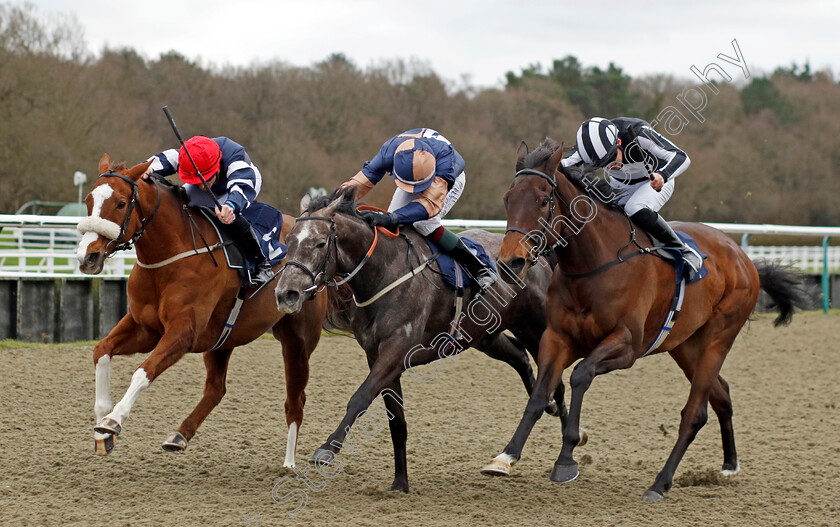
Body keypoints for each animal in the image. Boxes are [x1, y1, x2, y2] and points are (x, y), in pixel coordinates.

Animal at [77, 153, 324, 466]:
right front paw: (102, 429)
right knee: (216, 389)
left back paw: (289, 463)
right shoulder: (144, 328)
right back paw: (179, 435)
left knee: (295, 400)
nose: (87, 256)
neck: (171, 256)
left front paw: (113, 420)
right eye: (88, 200)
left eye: (121, 203)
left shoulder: (183, 333)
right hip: (223, 339)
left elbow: (143, 372)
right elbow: (101, 351)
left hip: (297, 340)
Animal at [276, 191, 564, 496]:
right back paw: (550, 412)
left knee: (556, 381)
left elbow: (360, 398)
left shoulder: (397, 346)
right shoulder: (377, 354)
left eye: (320, 243)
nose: (286, 293)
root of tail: (535, 256)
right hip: (485, 335)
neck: (383, 272)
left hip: (537, 328)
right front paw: (400, 483)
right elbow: (396, 421)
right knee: (520, 357)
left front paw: (327, 449)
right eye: (289, 241)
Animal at [482, 140, 812, 504]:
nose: (510, 262)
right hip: (686, 346)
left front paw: (567, 457)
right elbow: (540, 395)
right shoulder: (557, 338)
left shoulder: (626, 345)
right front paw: (505, 456)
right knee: (721, 394)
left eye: (543, 200)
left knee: (694, 413)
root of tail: (744, 259)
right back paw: (728, 466)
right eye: (508, 198)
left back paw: (660, 483)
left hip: (718, 338)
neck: (593, 264)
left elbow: (581, 376)